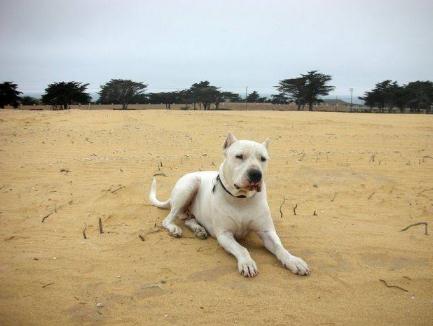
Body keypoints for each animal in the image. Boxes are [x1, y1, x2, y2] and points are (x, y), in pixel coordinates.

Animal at [150, 134, 308, 276]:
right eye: (239, 156)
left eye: (263, 159)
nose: (256, 174)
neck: (241, 199)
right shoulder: (224, 235)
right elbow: (242, 249)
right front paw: (247, 263)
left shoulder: (267, 232)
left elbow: (280, 248)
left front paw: (293, 261)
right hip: (189, 185)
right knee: (168, 219)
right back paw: (175, 228)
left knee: (188, 218)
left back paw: (198, 229)